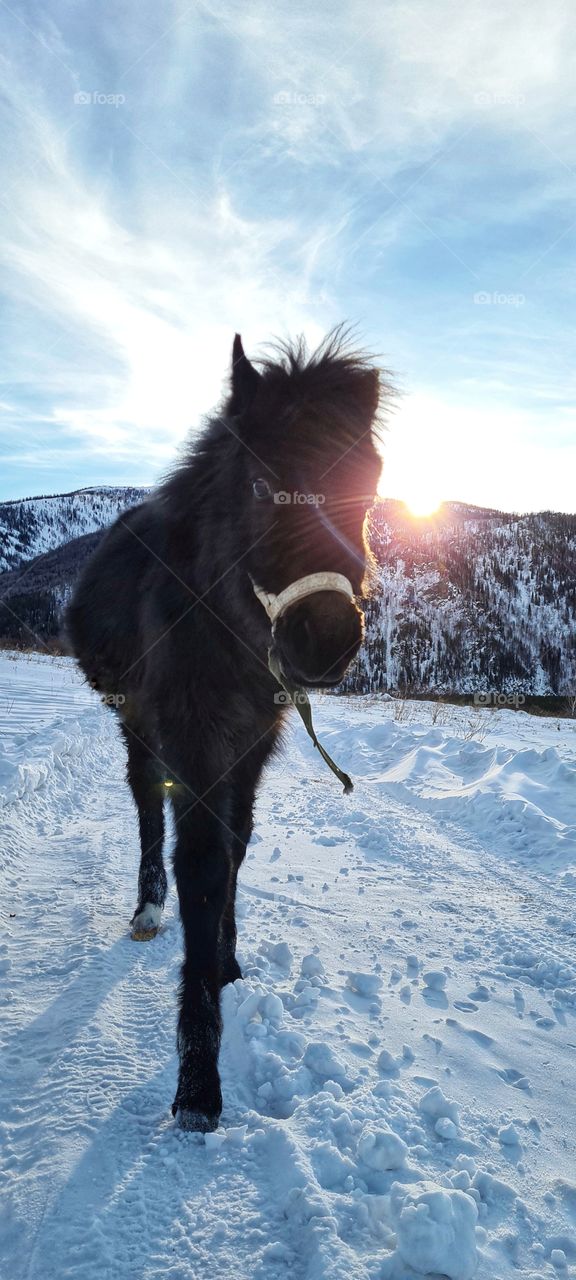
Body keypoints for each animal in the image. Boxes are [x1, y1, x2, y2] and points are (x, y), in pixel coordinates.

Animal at [66, 327, 386, 1131]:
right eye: (261, 484)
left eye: (370, 477)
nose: (324, 641)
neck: (221, 619)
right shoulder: (195, 744)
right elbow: (203, 869)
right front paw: (197, 1084)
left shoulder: (254, 744)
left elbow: (238, 849)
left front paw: (230, 960)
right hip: (136, 727)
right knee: (146, 807)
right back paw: (148, 906)